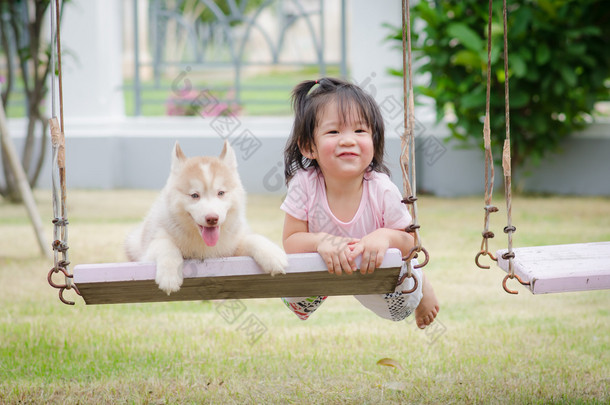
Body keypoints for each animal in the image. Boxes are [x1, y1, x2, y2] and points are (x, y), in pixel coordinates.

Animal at [126, 141, 288, 294]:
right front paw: (169, 276)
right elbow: (166, 246)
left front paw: (273, 254)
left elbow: (252, 238)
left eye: (221, 193)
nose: (212, 218)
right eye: (194, 195)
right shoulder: (151, 246)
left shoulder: (232, 250)